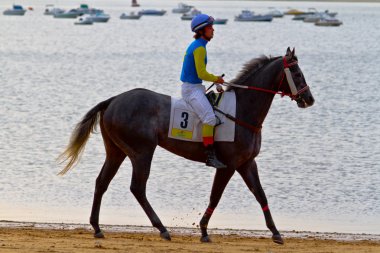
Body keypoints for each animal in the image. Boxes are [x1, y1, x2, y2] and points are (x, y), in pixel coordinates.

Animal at [58, 47, 314, 243]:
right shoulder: (229, 165)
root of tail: (112, 100)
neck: (242, 110)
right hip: (142, 152)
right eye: (297, 73)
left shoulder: (247, 163)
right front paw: (203, 230)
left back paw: (97, 227)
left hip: (116, 151)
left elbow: (261, 195)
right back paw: (162, 228)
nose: (309, 99)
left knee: (102, 182)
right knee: (137, 187)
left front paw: (276, 232)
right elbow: (215, 197)